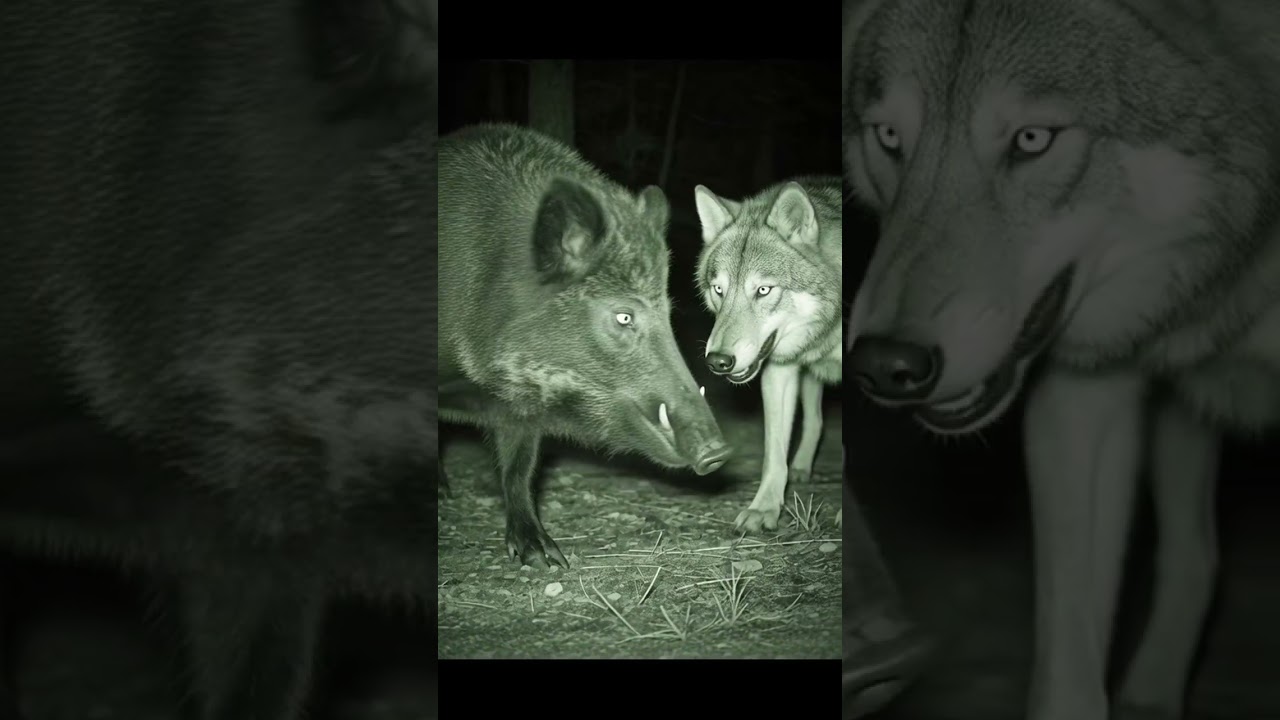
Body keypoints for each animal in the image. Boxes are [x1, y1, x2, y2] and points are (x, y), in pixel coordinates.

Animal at [438, 123, 733, 568]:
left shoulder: (519, 407)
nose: (720, 453)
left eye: (668, 311)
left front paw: (545, 558)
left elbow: (520, 467)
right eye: (624, 316)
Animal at [693, 178, 844, 532]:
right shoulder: (780, 371)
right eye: (719, 290)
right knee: (815, 421)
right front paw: (763, 510)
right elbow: (774, 454)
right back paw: (801, 468)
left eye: (763, 290)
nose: (717, 362)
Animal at [844, 1, 1280, 719]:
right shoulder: (1083, 401)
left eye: (1031, 140)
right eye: (888, 136)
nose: (884, 364)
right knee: (1193, 554)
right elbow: (1066, 669)